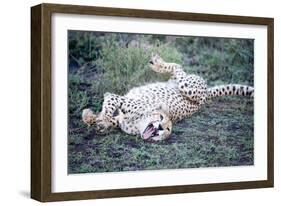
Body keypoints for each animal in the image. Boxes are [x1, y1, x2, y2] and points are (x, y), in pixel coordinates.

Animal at [81, 54, 254, 141]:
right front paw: (94, 117)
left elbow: (109, 119)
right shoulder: (116, 100)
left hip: (188, 86)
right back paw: (157, 62)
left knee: (178, 68)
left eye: (168, 130)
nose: (160, 128)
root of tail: (206, 94)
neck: (139, 124)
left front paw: (96, 120)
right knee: (177, 67)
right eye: (161, 118)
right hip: (186, 85)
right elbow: (108, 106)